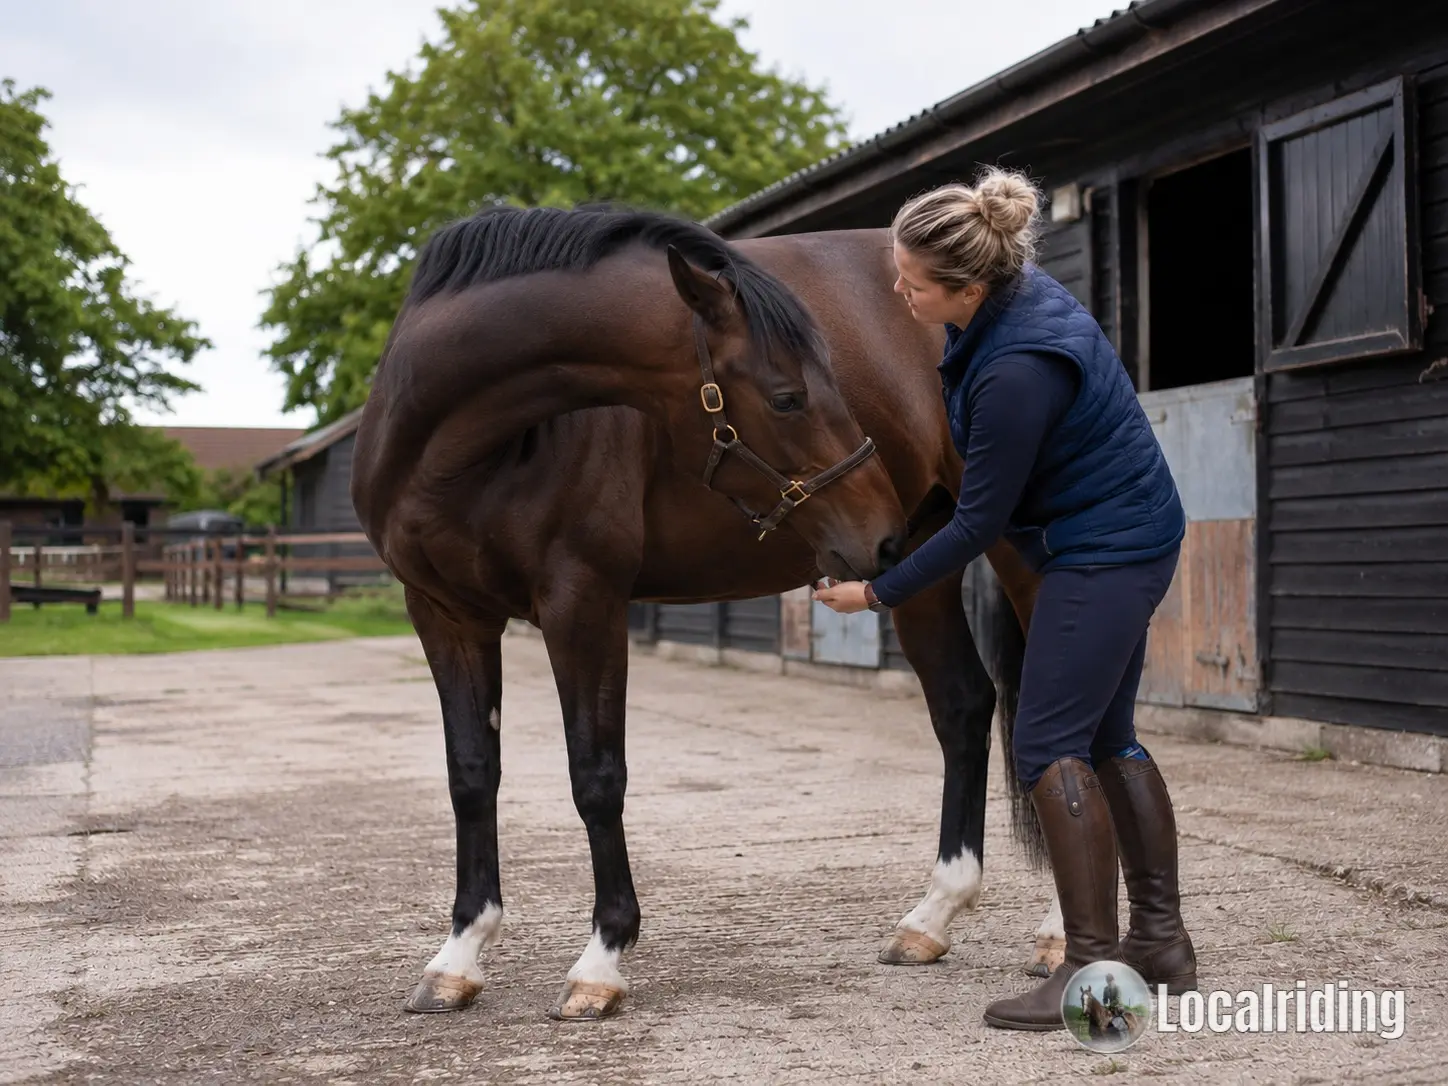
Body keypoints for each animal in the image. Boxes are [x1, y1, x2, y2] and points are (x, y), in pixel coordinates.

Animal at [349, 204, 1052, 1020]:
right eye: (787, 396)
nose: (878, 531)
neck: (459, 447)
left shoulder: (583, 601)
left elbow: (596, 775)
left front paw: (601, 962)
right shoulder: (445, 614)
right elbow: (471, 774)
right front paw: (458, 957)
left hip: (1017, 549)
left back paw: (1058, 939)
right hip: (926, 561)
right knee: (963, 708)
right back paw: (930, 919)